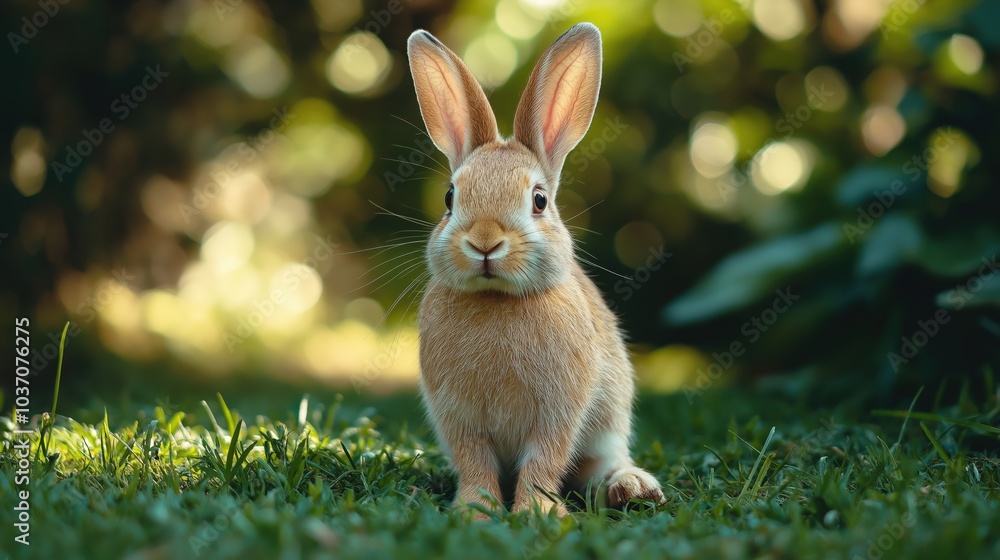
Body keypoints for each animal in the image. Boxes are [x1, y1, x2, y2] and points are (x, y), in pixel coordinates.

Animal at [407, 22, 664, 517]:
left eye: (539, 200)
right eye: (450, 197)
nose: (485, 241)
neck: (498, 300)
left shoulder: (558, 413)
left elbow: (545, 461)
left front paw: (536, 513)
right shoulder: (460, 418)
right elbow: (475, 464)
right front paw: (475, 510)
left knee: (602, 466)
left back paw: (632, 488)